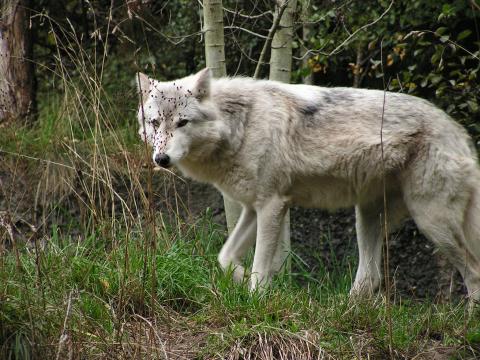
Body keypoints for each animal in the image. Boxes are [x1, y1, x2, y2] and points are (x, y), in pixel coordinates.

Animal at [135, 68, 480, 300]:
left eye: (182, 123)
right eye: (155, 123)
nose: (161, 159)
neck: (240, 127)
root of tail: (459, 132)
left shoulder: (272, 206)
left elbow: (260, 266)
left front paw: (256, 300)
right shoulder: (252, 208)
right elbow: (225, 258)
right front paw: (246, 284)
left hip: (432, 222)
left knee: (474, 274)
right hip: (368, 217)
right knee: (370, 278)